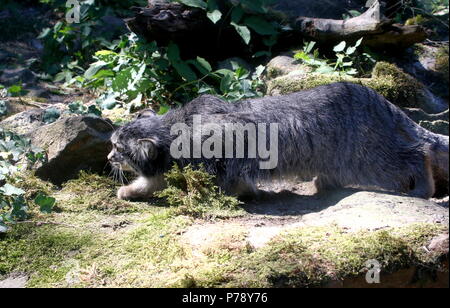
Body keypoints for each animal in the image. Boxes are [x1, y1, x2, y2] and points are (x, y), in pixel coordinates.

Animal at [107, 83, 448, 201]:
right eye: (111, 143)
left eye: (118, 148)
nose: (108, 159)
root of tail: (375, 97)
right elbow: (155, 180)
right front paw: (132, 190)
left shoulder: (224, 155)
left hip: (369, 157)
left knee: (416, 153)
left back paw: (424, 188)